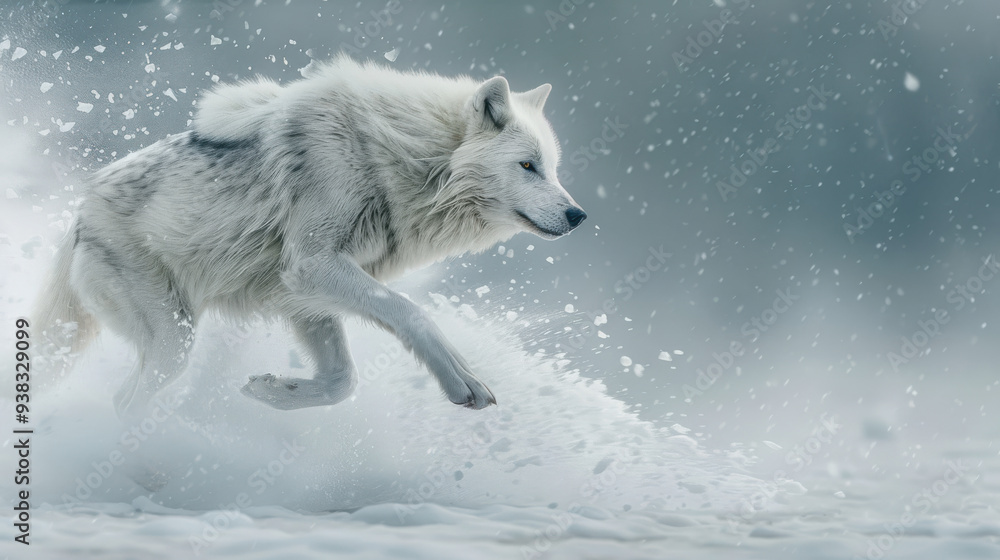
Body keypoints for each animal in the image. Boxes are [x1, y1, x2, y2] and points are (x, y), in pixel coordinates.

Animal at [35, 56, 586, 418]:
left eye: (554, 168)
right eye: (528, 166)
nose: (579, 214)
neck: (392, 155)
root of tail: (79, 214)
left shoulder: (300, 294)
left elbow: (343, 381)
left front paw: (273, 392)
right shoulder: (313, 265)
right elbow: (410, 312)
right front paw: (462, 379)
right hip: (174, 339)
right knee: (125, 399)